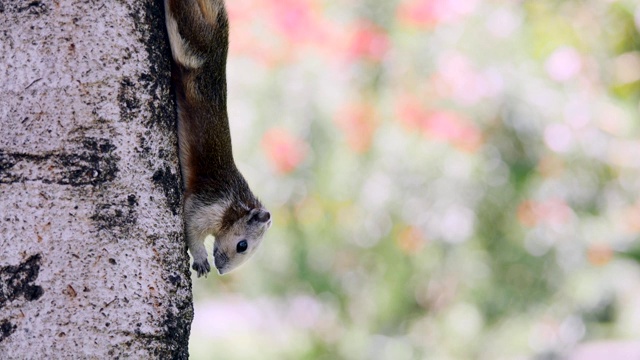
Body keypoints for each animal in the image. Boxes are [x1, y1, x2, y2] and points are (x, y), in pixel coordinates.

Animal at [164, 0, 272, 278]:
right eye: (242, 245)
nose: (222, 270)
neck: (236, 206)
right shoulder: (208, 206)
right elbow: (191, 225)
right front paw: (201, 259)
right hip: (192, 47)